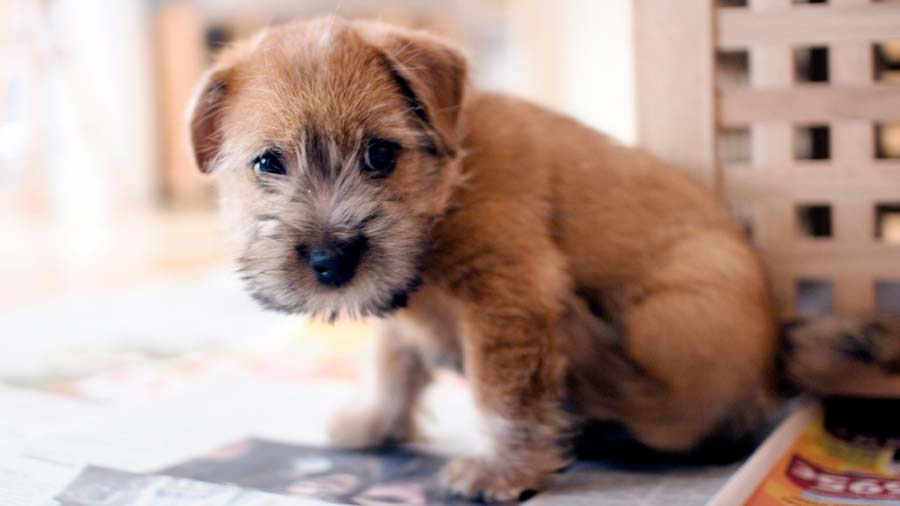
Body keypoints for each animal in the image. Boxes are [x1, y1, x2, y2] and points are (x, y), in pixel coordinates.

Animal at [186, 16, 896, 502]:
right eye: (268, 162)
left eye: (380, 154)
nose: (332, 262)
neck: (448, 188)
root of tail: (779, 349)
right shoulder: (404, 306)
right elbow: (393, 360)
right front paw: (372, 422)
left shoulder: (510, 299)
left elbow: (504, 397)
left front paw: (500, 471)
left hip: (674, 311)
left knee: (677, 415)